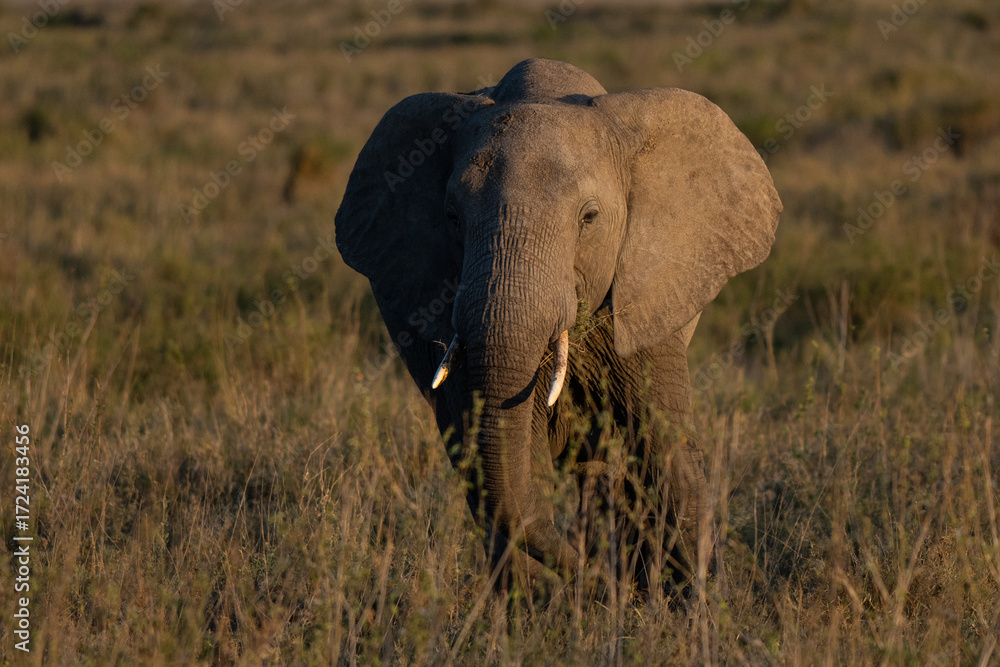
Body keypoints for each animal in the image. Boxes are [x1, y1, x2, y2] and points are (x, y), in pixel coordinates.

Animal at [335, 59, 781, 593]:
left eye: (589, 218)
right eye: (452, 217)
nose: (592, 580)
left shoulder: (645, 298)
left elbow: (662, 444)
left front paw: (695, 605)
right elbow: (514, 458)